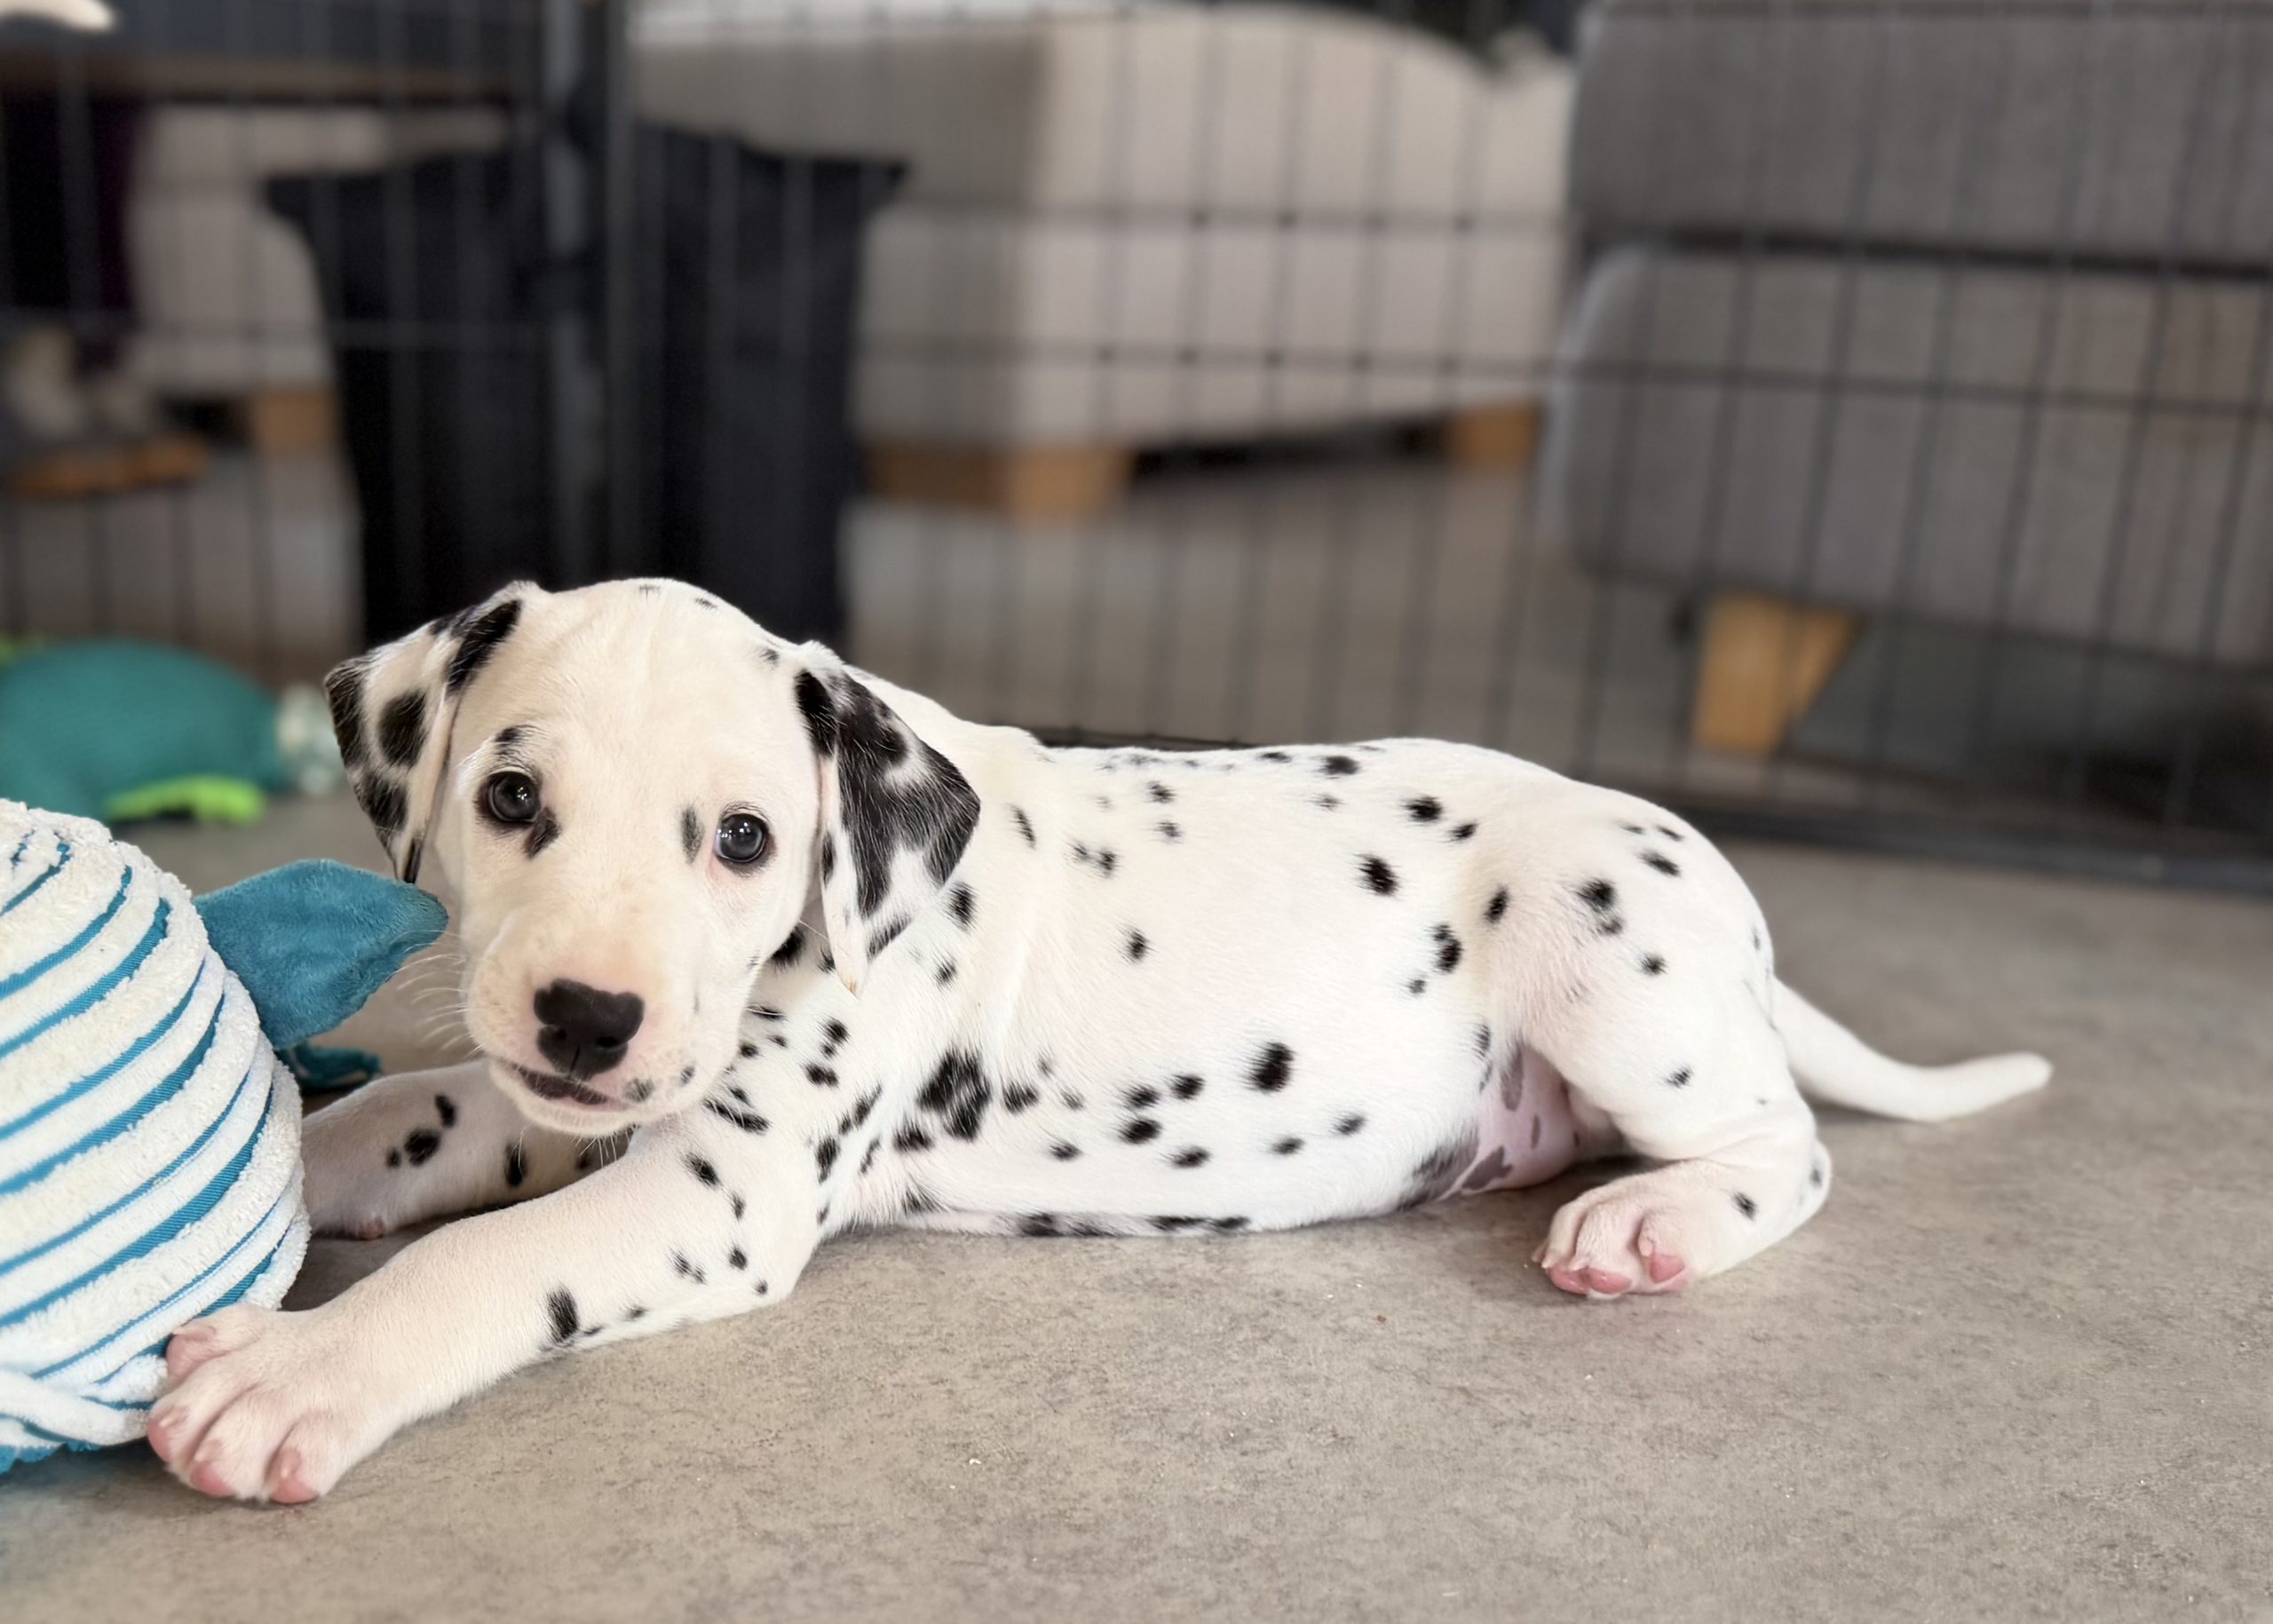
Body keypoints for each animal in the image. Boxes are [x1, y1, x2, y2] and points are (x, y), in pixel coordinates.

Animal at [148, 579, 2049, 1502]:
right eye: (509, 797)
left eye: (745, 837)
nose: (589, 1014)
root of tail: (1718, 894)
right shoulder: (587, 1102)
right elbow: (426, 1105)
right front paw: (292, 1143)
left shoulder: (716, 1191)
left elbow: (479, 1263)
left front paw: (295, 1371)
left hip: (1601, 942)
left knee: (1788, 1145)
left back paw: (1657, 1219)